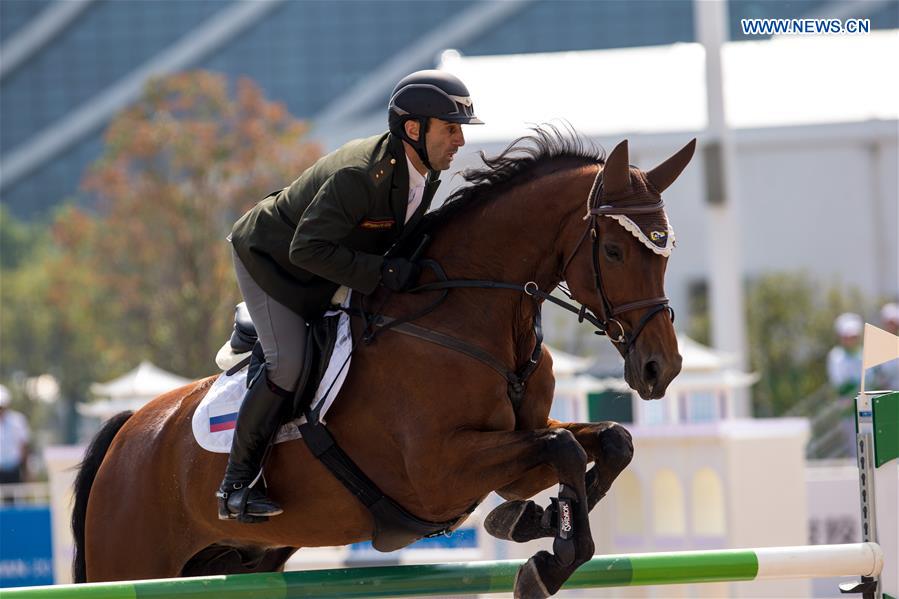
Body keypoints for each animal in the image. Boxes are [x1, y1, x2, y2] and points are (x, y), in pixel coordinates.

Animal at [74, 129, 700, 596]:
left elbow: (609, 440)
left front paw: (532, 524)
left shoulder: (516, 455)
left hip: (238, 560)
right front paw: (547, 553)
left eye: (668, 251)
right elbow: (566, 448)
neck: (469, 314)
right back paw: (239, 494)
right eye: (613, 251)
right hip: (131, 562)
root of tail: (129, 429)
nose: (660, 369)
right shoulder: (438, 472)